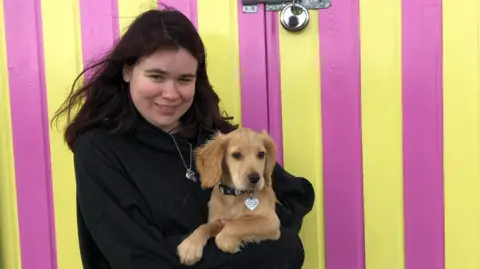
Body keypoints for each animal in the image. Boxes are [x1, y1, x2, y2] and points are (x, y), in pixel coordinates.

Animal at [176, 127, 282, 264]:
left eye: (261, 154)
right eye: (236, 155)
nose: (255, 178)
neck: (235, 196)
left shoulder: (271, 220)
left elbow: (239, 223)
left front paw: (228, 242)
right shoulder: (216, 220)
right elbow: (204, 227)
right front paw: (190, 245)